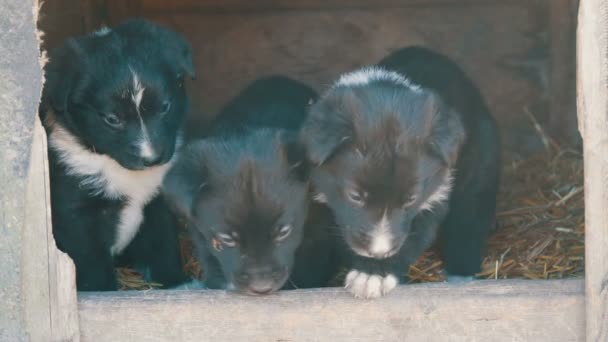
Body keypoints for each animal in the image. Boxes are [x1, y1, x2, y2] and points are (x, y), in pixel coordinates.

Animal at [40, 18, 196, 292]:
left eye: (165, 107)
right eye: (112, 119)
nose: (151, 159)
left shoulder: (157, 203)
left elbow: (163, 245)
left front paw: (173, 281)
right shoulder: (77, 213)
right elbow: (91, 261)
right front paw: (102, 291)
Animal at [302, 46, 502, 298]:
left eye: (411, 199)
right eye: (355, 196)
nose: (379, 252)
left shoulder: (435, 194)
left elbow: (412, 238)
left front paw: (373, 275)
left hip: (481, 163)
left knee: (471, 218)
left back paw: (462, 273)